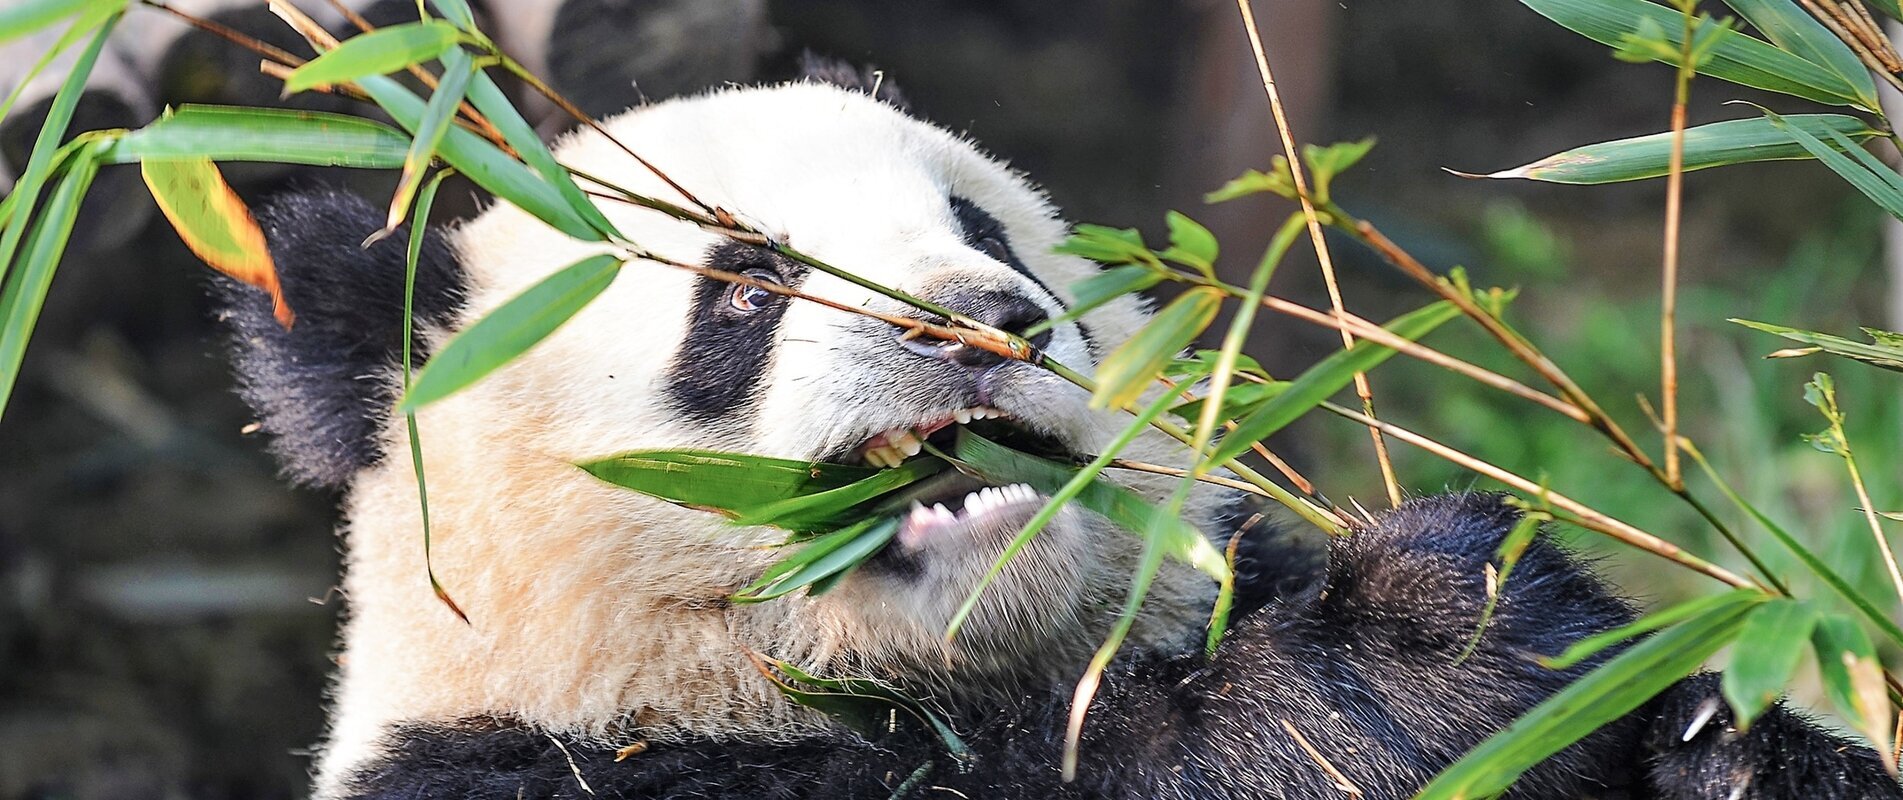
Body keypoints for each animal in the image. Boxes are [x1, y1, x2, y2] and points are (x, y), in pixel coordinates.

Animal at [213, 62, 1903, 799]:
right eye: (743, 286)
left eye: (985, 231)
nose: (982, 322)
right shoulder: (553, 771)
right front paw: (1429, 632)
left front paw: (1716, 743)